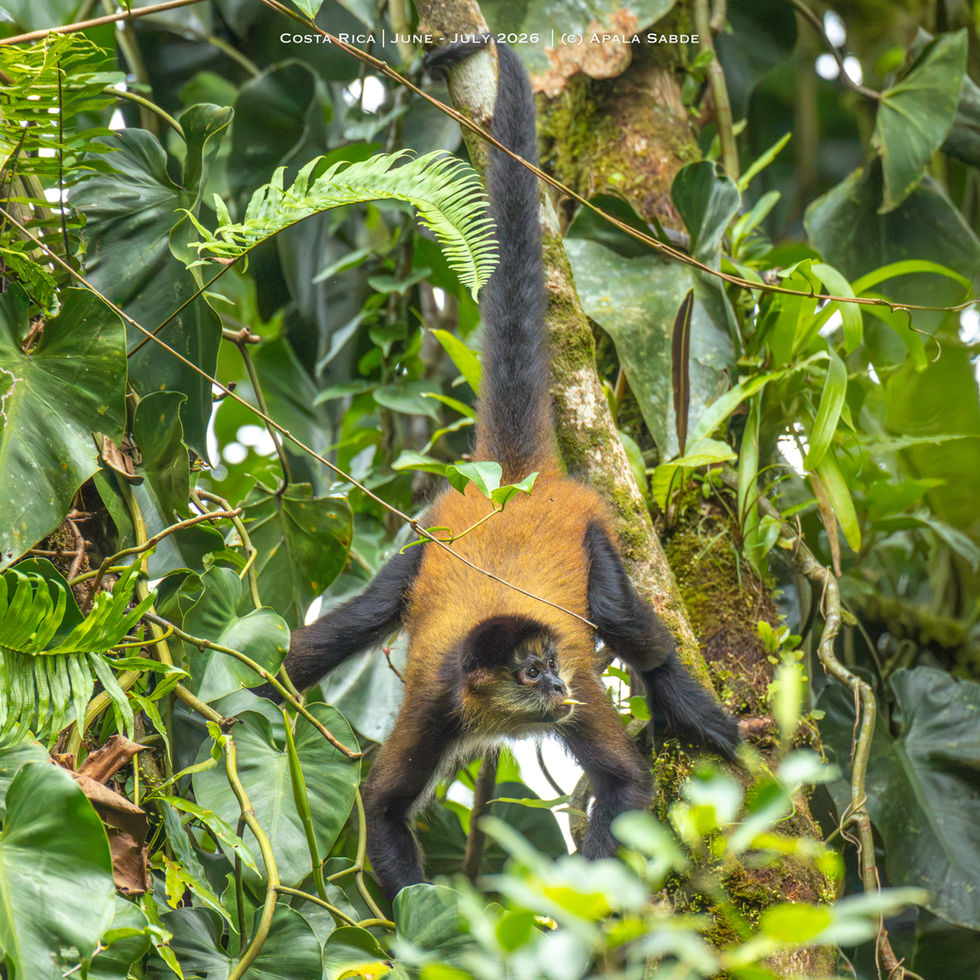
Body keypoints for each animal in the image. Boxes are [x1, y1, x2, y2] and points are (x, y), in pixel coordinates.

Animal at [265, 39, 740, 899]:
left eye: (548, 666)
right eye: (527, 674)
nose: (552, 685)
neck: (494, 713)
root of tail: (514, 483)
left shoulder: (574, 695)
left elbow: (624, 781)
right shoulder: (435, 702)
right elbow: (382, 812)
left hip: (591, 534)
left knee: (626, 623)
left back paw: (696, 714)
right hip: (428, 542)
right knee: (345, 628)